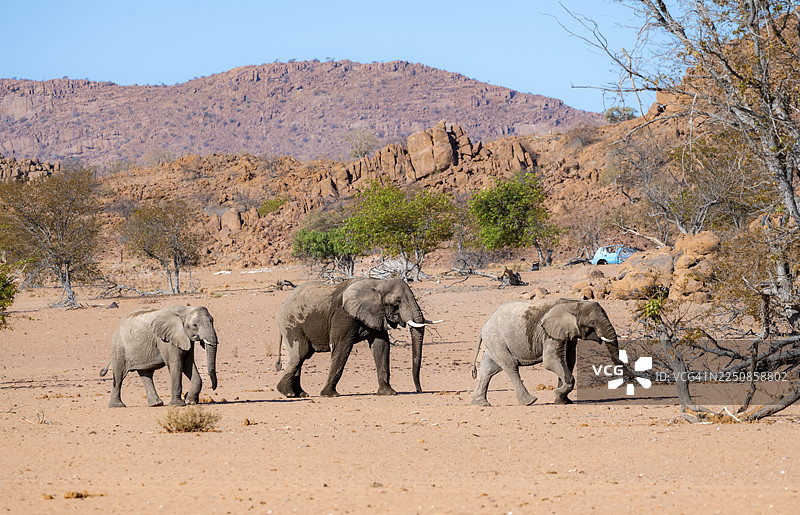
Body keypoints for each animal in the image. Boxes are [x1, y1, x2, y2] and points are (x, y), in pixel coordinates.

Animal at [274, 277, 441, 398]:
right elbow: (341, 347)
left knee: (302, 357)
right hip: (292, 324)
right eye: (397, 301)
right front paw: (329, 395)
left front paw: (388, 393)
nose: (419, 390)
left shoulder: (376, 315)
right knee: (300, 353)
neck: (378, 283)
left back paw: (300, 394)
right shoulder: (343, 316)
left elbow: (381, 346)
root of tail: (283, 306)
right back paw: (287, 393)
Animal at [471, 299, 619, 406]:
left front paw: (562, 401)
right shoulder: (549, 334)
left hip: (494, 342)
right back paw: (529, 402)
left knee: (489, 369)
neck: (573, 304)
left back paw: (480, 404)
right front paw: (557, 393)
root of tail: (484, 326)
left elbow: (569, 361)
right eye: (592, 323)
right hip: (497, 339)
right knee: (510, 366)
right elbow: (551, 361)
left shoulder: (568, 335)